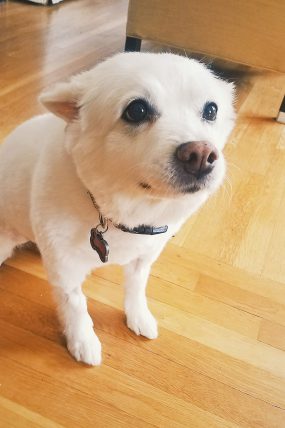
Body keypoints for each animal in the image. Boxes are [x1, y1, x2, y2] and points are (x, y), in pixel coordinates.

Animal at [0, 51, 234, 364]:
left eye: (211, 110)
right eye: (136, 110)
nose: (201, 154)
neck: (127, 215)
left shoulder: (144, 258)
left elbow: (136, 289)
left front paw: (138, 316)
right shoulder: (65, 271)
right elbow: (76, 306)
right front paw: (82, 340)